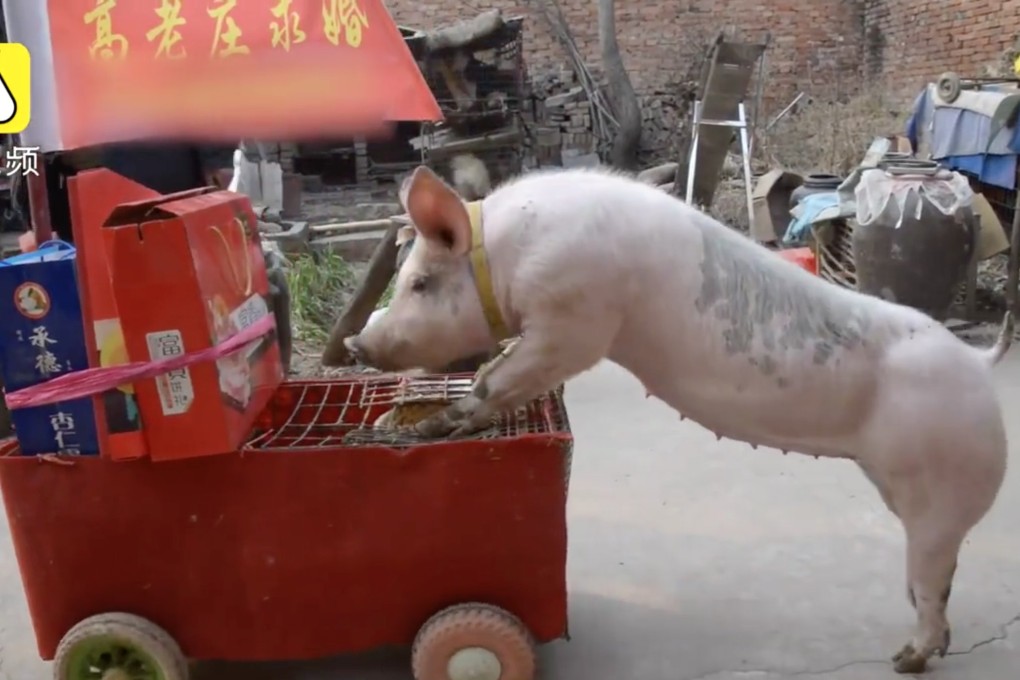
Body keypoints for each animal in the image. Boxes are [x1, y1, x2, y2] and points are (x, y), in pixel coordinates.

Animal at [336, 164, 1014, 675]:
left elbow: (496, 382)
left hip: (942, 490)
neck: (505, 256)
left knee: (932, 578)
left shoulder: (573, 323)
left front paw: (422, 429)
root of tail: (982, 365)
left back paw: (905, 660)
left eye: (420, 283)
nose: (356, 345)